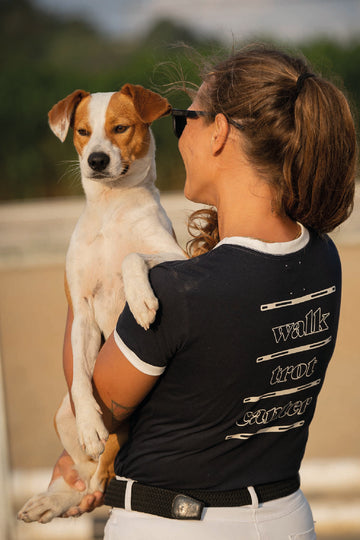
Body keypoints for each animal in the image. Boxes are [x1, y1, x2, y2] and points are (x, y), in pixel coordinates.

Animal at [16, 84, 186, 524]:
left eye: (120, 128)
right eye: (82, 131)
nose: (96, 160)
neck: (112, 207)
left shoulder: (177, 256)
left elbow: (132, 257)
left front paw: (141, 301)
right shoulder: (82, 314)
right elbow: (79, 374)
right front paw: (92, 424)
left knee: (106, 469)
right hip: (62, 413)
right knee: (89, 470)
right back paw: (55, 498)